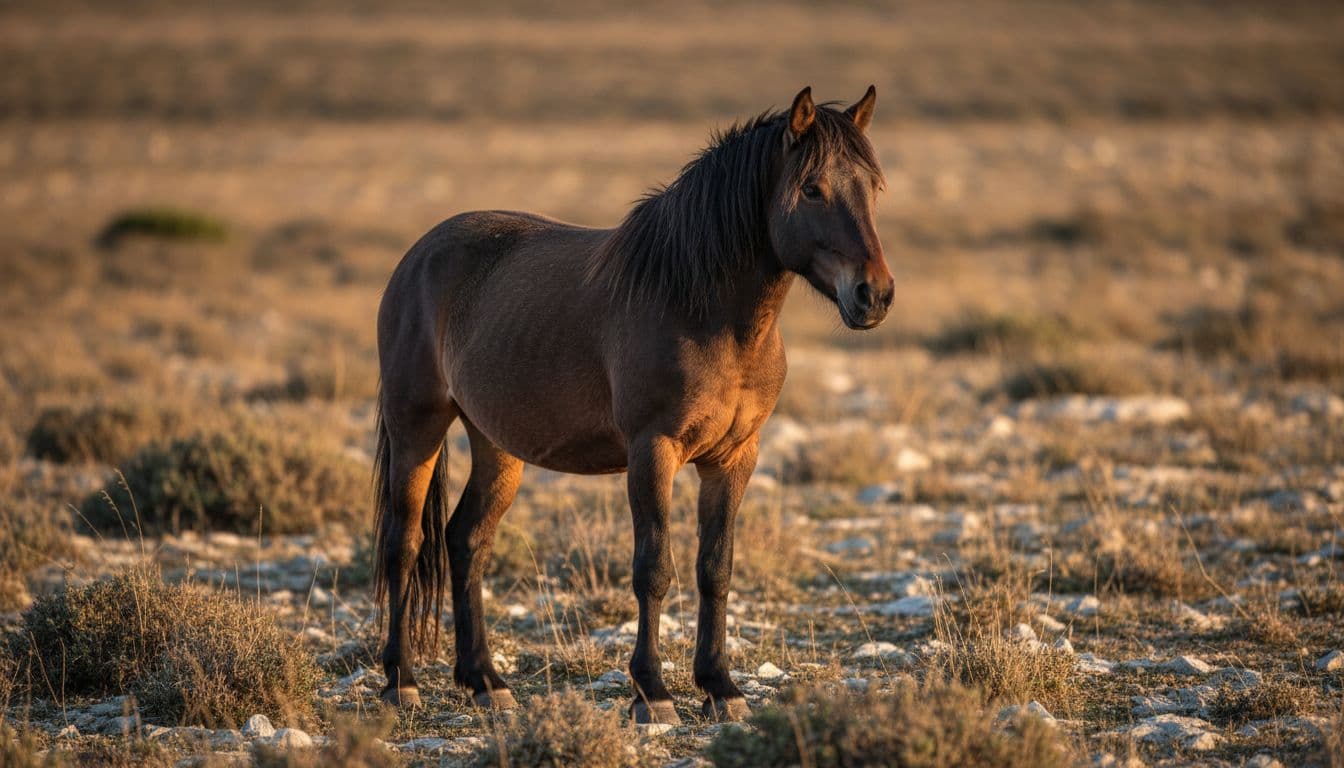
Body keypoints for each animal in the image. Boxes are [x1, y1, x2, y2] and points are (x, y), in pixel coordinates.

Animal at [372, 85, 892, 724]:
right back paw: (401, 681)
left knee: (466, 540)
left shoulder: (735, 458)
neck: (705, 311)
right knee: (403, 543)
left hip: (496, 445)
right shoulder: (653, 450)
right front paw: (653, 693)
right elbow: (654, 568)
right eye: (813, 187)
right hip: (416, 427)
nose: (875, 295)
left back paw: (486, 682)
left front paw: (721, 687)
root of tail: (418, 255)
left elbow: (715, 569)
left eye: (873, 187)